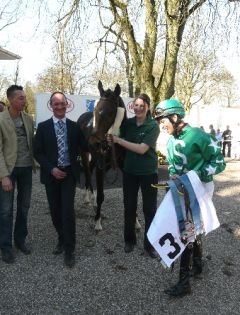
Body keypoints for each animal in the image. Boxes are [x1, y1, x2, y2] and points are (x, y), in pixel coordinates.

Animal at [76, 81, 141, 232]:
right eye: (95, 111)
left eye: (111, 113)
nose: (93, 142)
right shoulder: (100, 168)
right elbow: (101, 195)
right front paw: (97, 222)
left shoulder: (123, 168)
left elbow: (131, 196)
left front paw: (135, 221)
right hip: (84, 154)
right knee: (87, 172)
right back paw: (87, 198)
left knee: (90, 171)